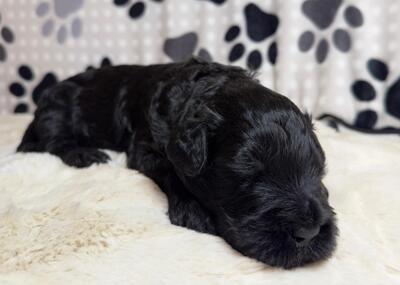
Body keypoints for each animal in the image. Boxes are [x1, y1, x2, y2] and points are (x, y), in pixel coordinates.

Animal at [18, 58, 338, 268]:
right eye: (247, 171)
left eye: (318, 169)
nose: (309, 232)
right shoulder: (144, 148)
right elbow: (170, 171)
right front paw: (193, 212)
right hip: (57, 107)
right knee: (54, 140)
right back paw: (84, 154)